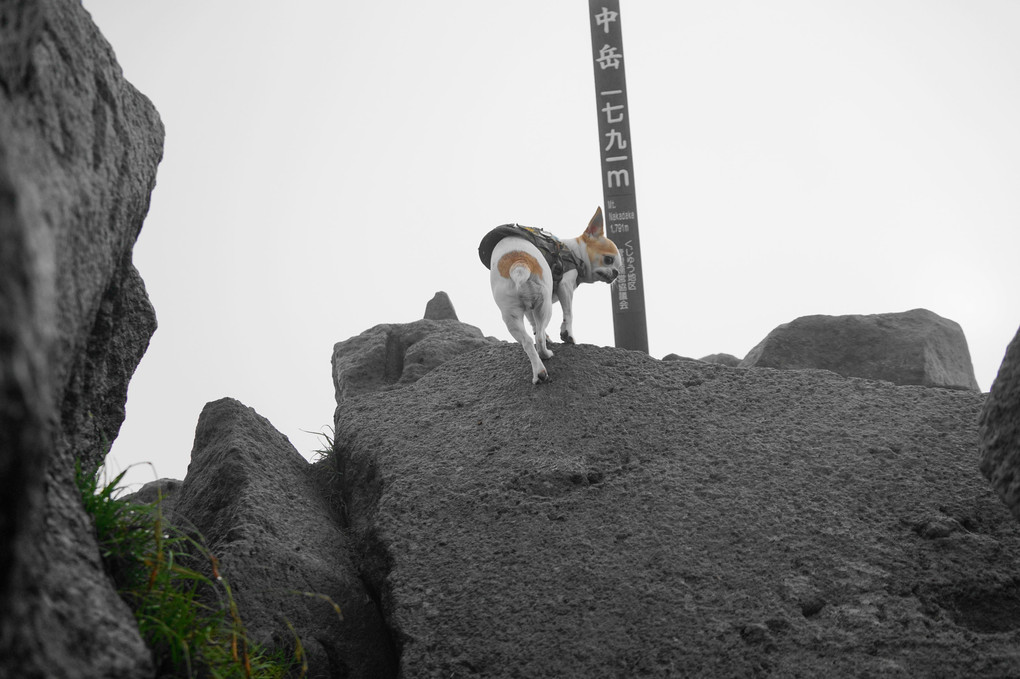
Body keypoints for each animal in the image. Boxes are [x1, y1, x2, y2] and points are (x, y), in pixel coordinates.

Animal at [483, 205, 620, 383]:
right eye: (609, 260)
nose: (617, 273)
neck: (574, 252)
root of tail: (519, 261)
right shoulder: (565, 286)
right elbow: (568, 313)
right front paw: (568, 335)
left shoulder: (530, 308)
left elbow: (533, 323)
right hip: (545, 305)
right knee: (539, 338)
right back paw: (546, 355)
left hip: (511, 313)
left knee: (528, 341)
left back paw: (539, 372)